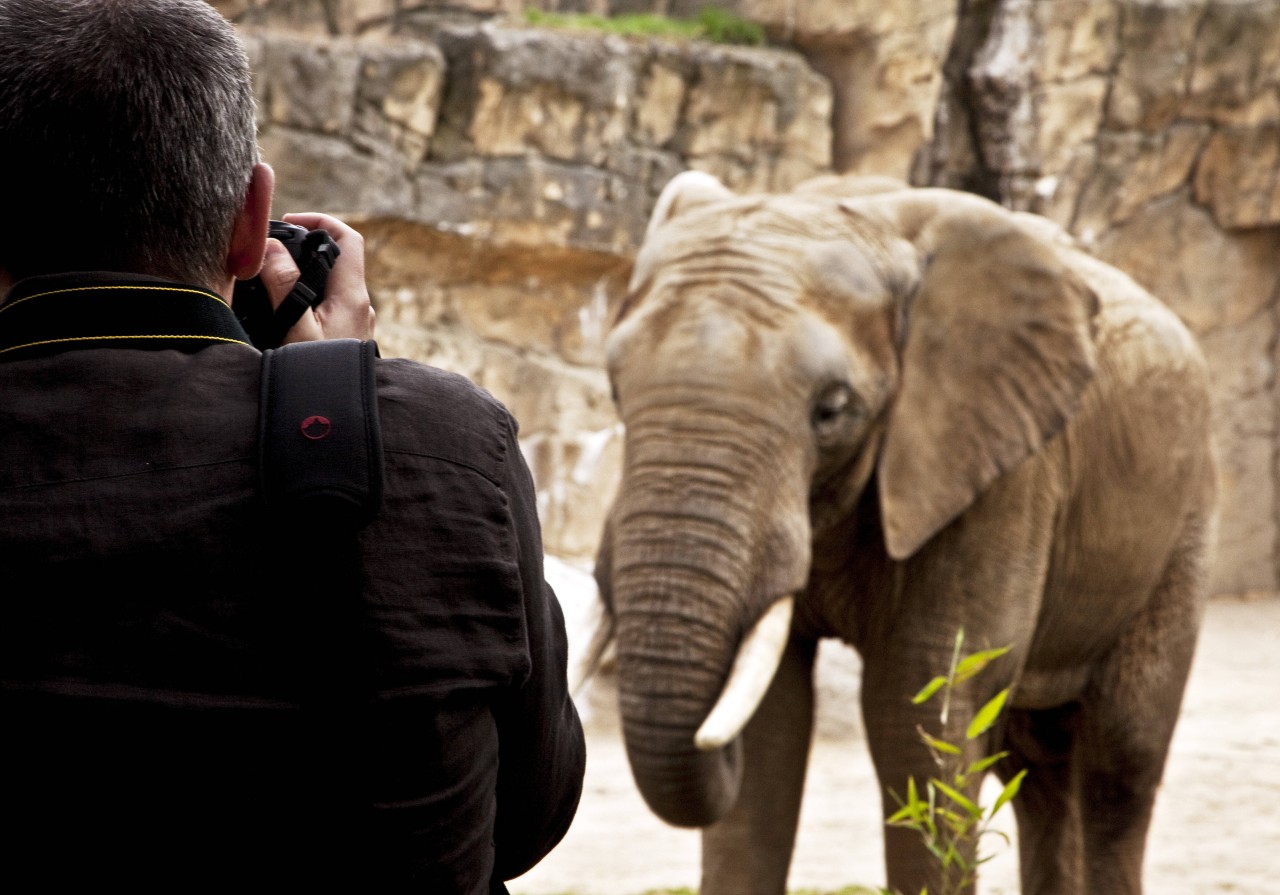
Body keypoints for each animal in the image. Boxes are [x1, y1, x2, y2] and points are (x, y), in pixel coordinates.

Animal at [586, 172, 1213, 895]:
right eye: (614, 390)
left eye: (831, 411)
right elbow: (772, 720)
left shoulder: (998, 469)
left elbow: (917, 703)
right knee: (1035, 768)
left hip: (1184, 515)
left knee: (1121, 763)